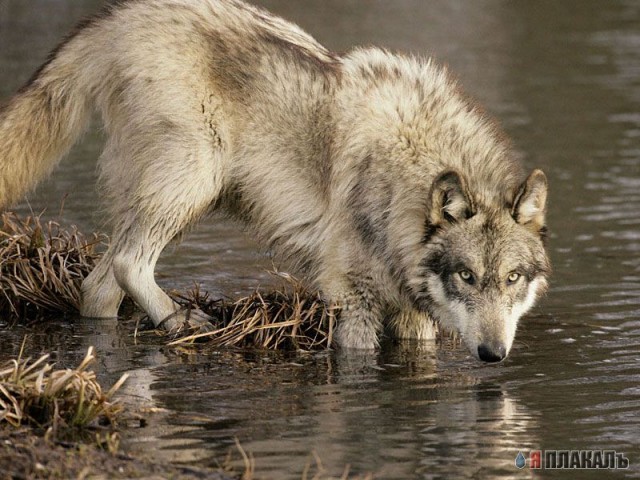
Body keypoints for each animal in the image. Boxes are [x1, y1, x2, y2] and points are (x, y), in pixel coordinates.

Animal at [0, 0, 552, 360]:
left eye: (512, 279)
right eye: (466, 276)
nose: (493, 353)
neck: (405, 163)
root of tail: (120, 15)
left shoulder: (413, 312)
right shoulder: (353, 299)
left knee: (97, 288)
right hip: (194, 181)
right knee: (128, 264)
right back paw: (181, 321)